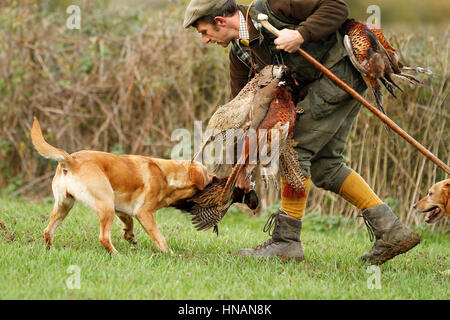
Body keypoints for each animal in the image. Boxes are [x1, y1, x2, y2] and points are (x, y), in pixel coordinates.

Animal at [31, 117, 214, 255]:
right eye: (208, 176)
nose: (217, 177)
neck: (166, 176)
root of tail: (70, 160)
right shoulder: (144, 213)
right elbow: (159, 238)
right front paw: (170, 254)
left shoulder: (121, 209)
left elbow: (129, 222)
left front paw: (129, 236)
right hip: (105, 205)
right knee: (104, 238)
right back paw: (117, 255)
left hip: (65, 206)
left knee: (48, 231)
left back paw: (50, 250)